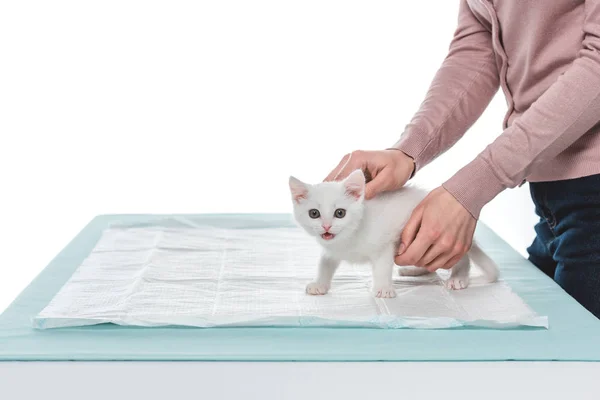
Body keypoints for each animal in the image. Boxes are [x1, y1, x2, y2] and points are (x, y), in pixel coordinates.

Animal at [288, 168, 500, 296]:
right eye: (314, 213)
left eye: (340, 213)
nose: (326, 226)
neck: (348, 239)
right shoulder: (331, 250)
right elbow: (324, 264)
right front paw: (319, 284)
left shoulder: (384, 244)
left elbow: (382, 267)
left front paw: (383, 289)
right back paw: (413, 270)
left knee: (461, 258)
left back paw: (458, 278)